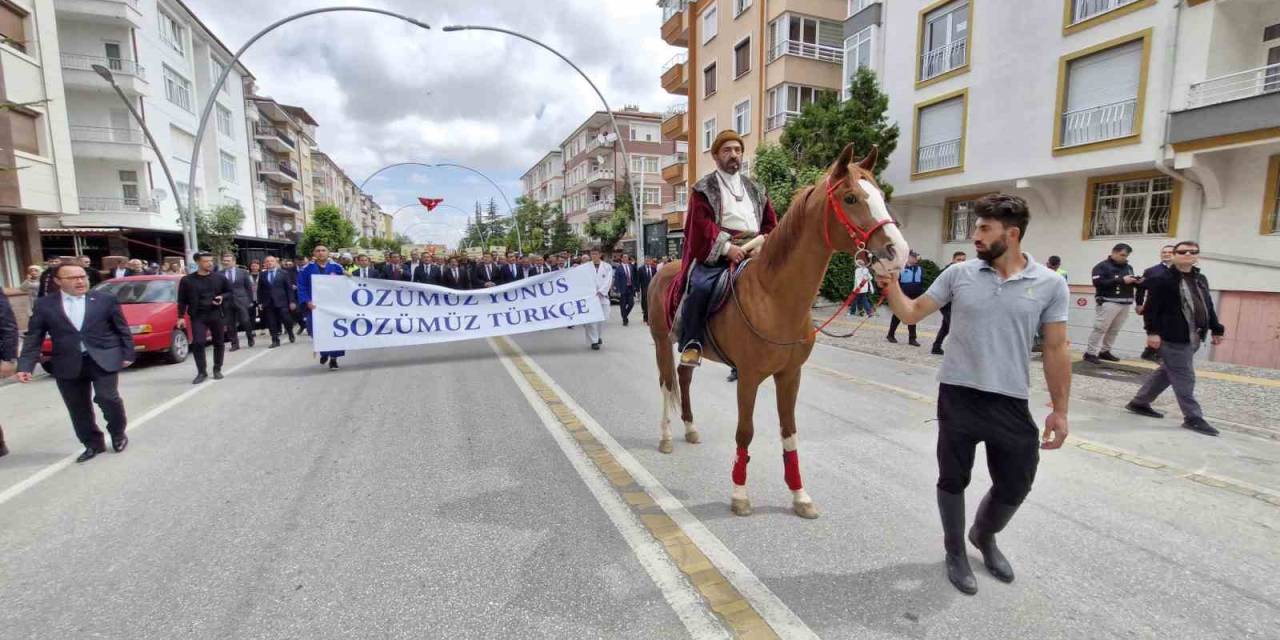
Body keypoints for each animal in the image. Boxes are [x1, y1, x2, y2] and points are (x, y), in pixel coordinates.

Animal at [650, 145, 911, 519]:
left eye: (880, 196)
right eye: (850, 198)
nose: (898, 252)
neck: (774, 296)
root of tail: (662, 269)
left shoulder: (790, 375)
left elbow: (789, 432)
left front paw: (799, 495)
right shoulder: (747, 377)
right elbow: (745, 432)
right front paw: (740, 494)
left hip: (688, 345)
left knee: (683, 379)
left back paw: (690, 427)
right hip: (660, 341)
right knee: (667, 384)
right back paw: (667, 437)